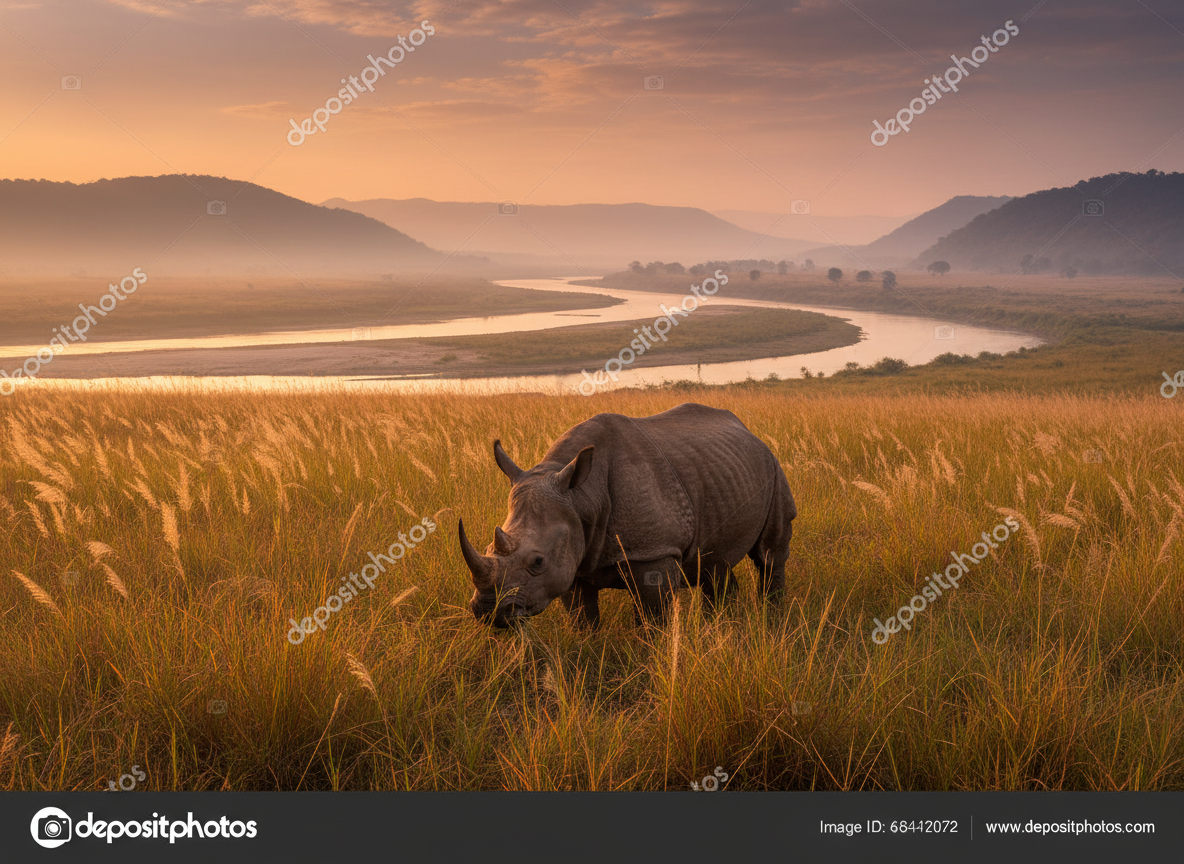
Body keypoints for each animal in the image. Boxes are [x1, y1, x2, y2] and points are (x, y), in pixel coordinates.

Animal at [459, 402, 796, 628]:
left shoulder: (653, 551)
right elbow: (583, 618)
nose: (489, 611)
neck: (581, 496)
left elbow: (652, 620)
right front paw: (588, 649)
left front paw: (653, 659)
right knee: (715, 562)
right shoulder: (573, 560)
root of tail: (748, 430)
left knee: (769, 555)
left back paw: (772, 618)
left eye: (537, 562)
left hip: (773, 467)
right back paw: (721, 625)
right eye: (487, 548)